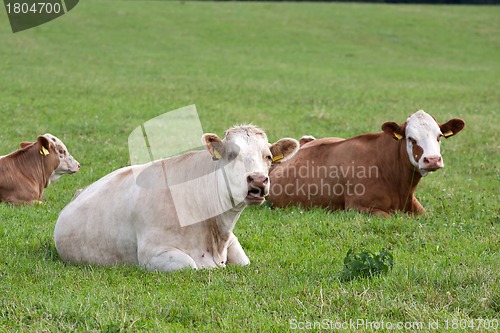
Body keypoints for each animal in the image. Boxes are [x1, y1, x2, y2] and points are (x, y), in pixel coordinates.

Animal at [54, 126, 298, 272]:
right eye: (231, 154)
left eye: (268, 156)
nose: (258, 180)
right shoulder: (153, 253)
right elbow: (190, 265)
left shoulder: (232, 242)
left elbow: (244, 262)